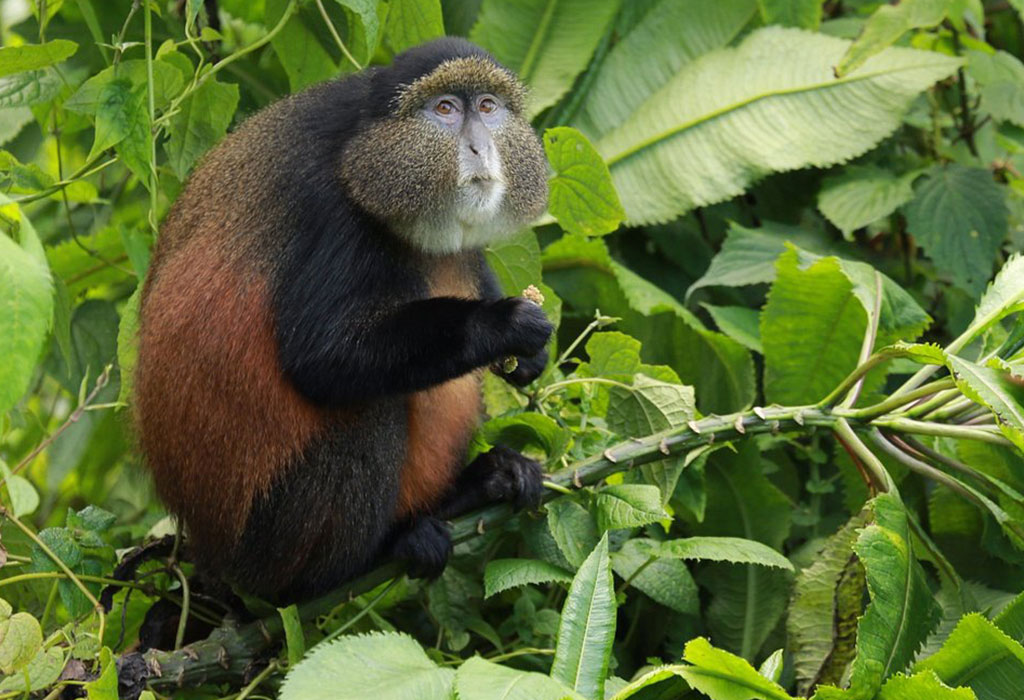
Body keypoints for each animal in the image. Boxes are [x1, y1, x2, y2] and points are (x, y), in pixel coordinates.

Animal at [133, 37, 553, 601]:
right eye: (444, 109)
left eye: (487, 107)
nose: (478, 148)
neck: (365, 146)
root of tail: (212, 559)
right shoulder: (333, 210)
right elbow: (321, 357)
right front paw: (505, 325)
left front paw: (526, 361)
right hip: (275, 543)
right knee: (368, 409)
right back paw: (372, 556)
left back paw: (477, 486)